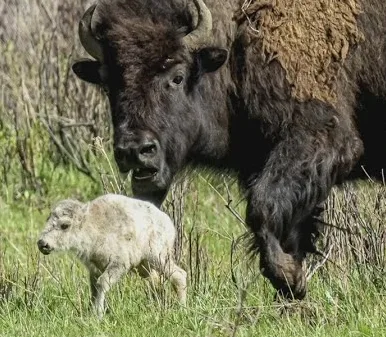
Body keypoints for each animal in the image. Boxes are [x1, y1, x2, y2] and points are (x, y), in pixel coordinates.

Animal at [37, 193, 187, 316]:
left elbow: (102, 283)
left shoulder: (119, 264)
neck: (92, 225)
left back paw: (181, 308)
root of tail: (167, 222)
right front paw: (90, 312)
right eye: (47, 219)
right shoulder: (94, 269)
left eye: (65, 225)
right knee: (156, 281)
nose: (42, 243)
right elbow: (94, 289)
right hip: (144, 267)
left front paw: (98, 314)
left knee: (179, 275)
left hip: (158, 257)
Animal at [72, 0, 386, 300]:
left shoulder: (320, 138)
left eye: (177, 76)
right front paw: (292, 286)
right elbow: (285, 228)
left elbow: (262, 207)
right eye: (108, 84)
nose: (135, 150)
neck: (238, 38)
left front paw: (287, 277)